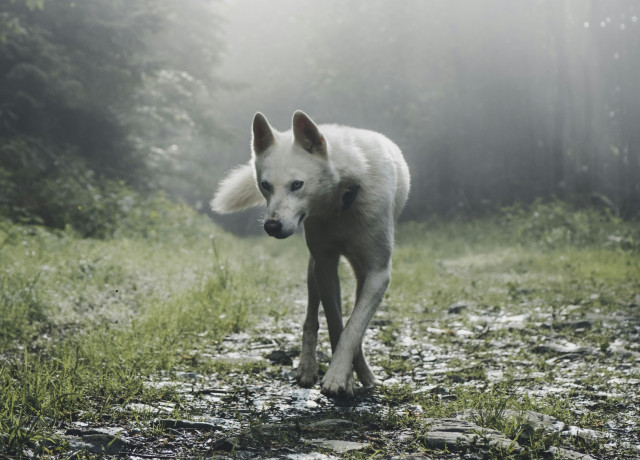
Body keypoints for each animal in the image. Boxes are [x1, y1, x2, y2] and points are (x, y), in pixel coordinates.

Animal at [210, 111, 410, 398]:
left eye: (297, 185)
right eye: (265, 185)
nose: (271, 226)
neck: (341, 201)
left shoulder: (378, 274)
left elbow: (353, 328)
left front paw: (341, 375)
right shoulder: (325, 266)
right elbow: (336, 325)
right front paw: (344, 377)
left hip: (358, 273)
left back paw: (365, 373)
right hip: (313, 269)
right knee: (311, 319)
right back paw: (308, 367)